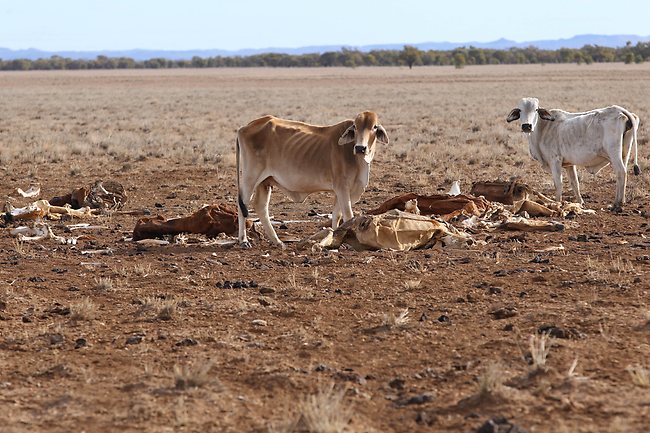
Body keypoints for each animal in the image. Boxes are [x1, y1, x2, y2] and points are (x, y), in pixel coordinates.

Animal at [235, 111, 388, 246]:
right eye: (355, 126)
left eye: (374, 127)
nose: (360, 148)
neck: (357, 159)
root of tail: (245, 127)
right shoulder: (342, 188)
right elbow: (348, 215)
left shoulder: (340, 192)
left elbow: (336, 216)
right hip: (250, 177)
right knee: (243, 203)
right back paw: (244, 241)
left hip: (265, 182)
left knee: (260, 206)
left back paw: (277, 241)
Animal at [506, 96, 636, 208]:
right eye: (520, 110)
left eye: (536, 110)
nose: (526, 126)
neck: (543, 128)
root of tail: (619, 110)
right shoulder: (569, 165)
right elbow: (575, 183)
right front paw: (580, 202)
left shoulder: (555, 160)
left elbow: (558, 184)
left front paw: (557, 204)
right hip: (624, 153)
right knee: (621, 175)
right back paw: (619, 200)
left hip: (614, 153)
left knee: (621, 172)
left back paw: (618, 203)